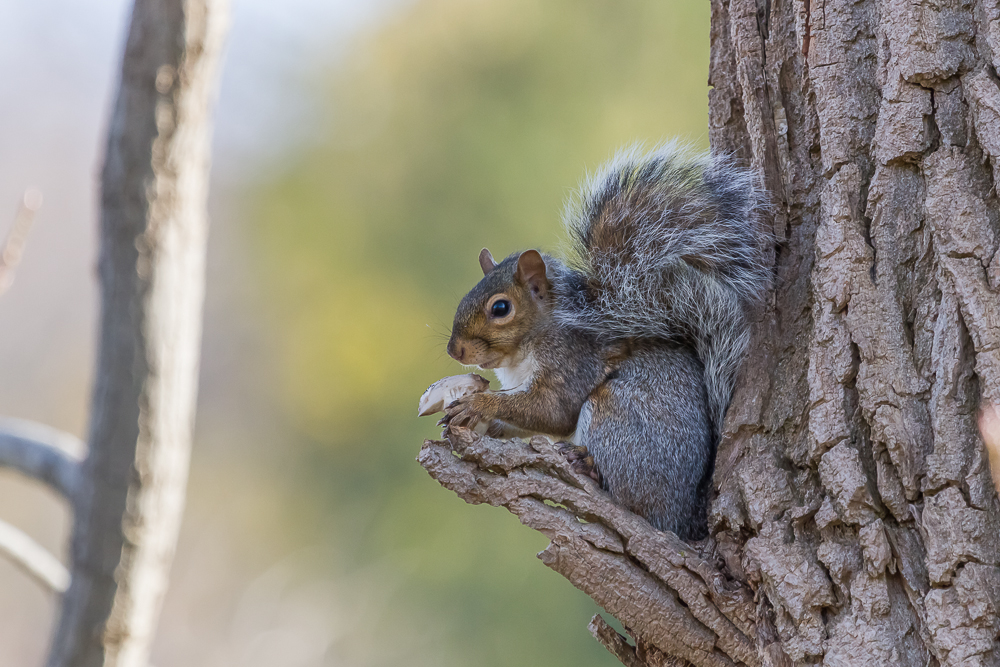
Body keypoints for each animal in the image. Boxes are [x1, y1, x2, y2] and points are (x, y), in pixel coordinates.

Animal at [440, 144, 772, 540]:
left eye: (501, 308)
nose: (454, 350)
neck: (525, 351)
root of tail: (681, 517)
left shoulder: (572, 361)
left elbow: (552, 411)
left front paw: (480, 405)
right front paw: (488, 424)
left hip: (614, 415)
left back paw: (588, 466)